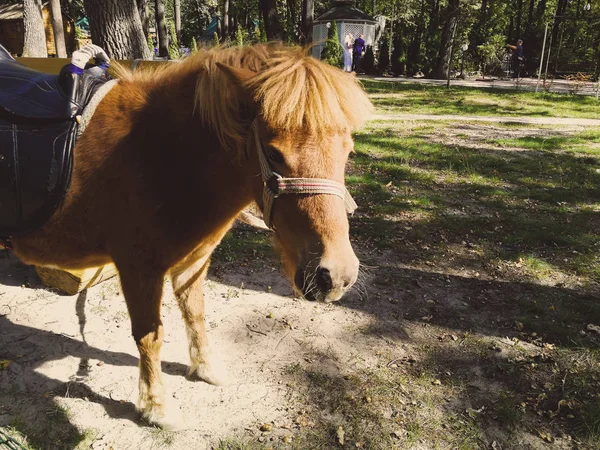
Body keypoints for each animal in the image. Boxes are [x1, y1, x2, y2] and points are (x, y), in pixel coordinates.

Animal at [9, 44, 372, 428]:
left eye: (348, 152)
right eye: (274, 153)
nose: (335, 275)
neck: (160, 158)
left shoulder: (194, 261)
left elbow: (195, 315)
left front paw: (205, 368)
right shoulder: (138, 269)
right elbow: (149, 336)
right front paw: (156, 406)